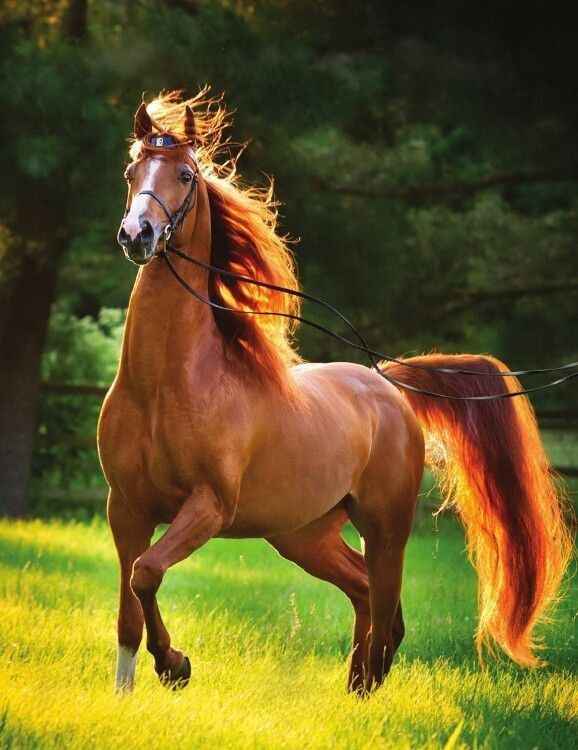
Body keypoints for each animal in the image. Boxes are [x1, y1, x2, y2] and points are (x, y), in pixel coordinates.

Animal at [97, 91, 568, 696]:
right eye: (131, 172)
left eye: (183, 173)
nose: (138, 235)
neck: (165, 387)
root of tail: (387, 384)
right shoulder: (126, 507)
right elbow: (131, 602)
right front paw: (137, 682)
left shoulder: (208, 506)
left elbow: (147, 572)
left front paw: (174, 664)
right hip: (304, 536)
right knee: (366, 593)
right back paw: (357, 685)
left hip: (384, 527)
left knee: (387, 606)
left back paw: (370, 687)